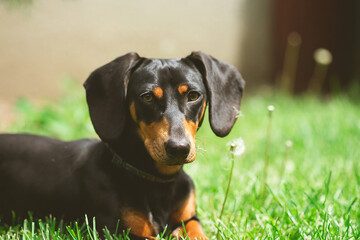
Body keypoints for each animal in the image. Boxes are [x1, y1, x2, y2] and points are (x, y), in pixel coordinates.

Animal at [0, 51, 245, 239]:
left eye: (194, 95)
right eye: (147, 97)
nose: (179, 148)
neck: (158, 184)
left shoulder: (191, 218)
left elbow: (196, 231)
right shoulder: (117, 231)